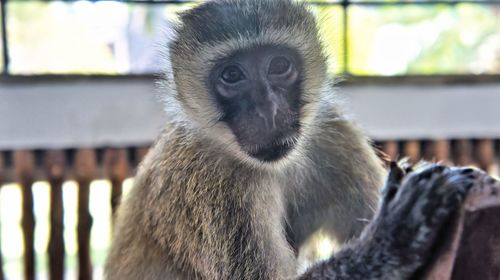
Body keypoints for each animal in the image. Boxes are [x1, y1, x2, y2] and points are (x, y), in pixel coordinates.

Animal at [103, 1, 478, 278]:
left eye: (279, 66)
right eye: (232, 75)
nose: (268, 110)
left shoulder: (335, 136)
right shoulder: (213, 187)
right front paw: (391, 239)